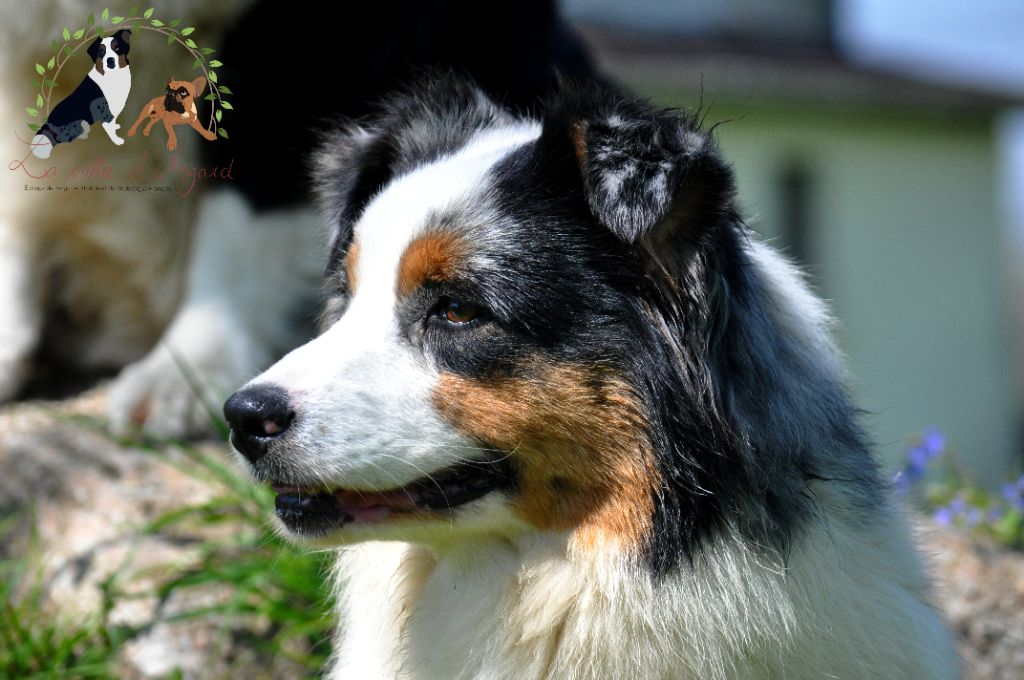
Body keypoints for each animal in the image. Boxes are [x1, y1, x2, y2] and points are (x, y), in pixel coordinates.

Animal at [30, 29, 131, 158]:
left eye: (117, 48)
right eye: (101, 52)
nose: (110, 60)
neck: (113, 76)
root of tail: (47, 124)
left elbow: (113, 122)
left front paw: (116, 126)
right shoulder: (104, 109)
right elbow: (109, 126)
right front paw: (117, 141)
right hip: (79, 122)